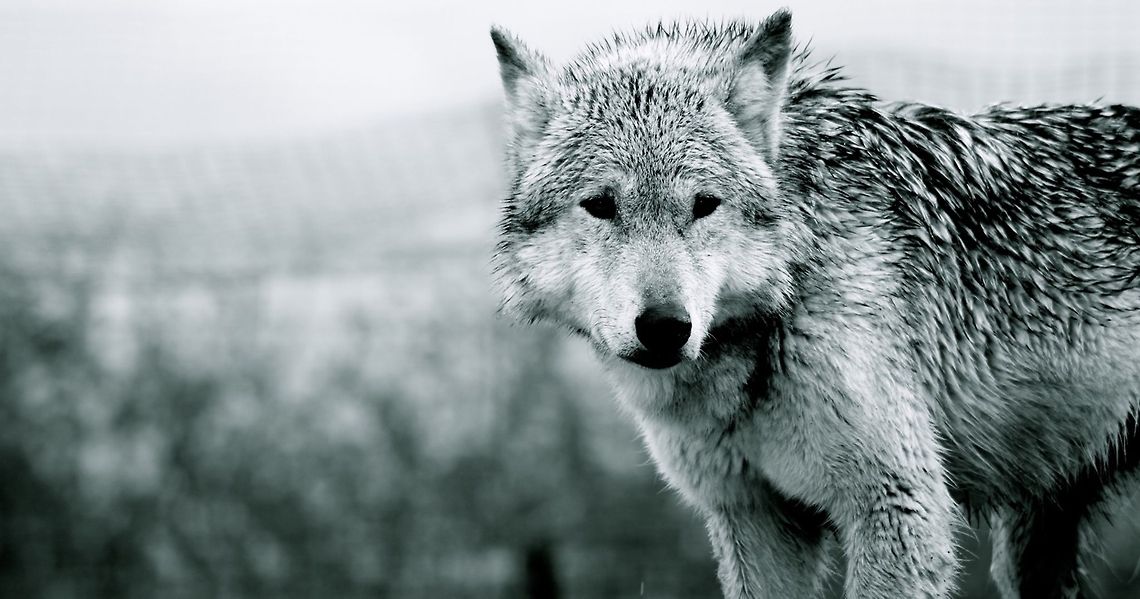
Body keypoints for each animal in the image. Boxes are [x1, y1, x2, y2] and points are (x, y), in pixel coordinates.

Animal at [490, 9, 1140, 598]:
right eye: (600, 205)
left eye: (704, 205)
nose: (666, 327)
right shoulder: (754, 518)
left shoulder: (897, 505)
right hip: (1034, 542)